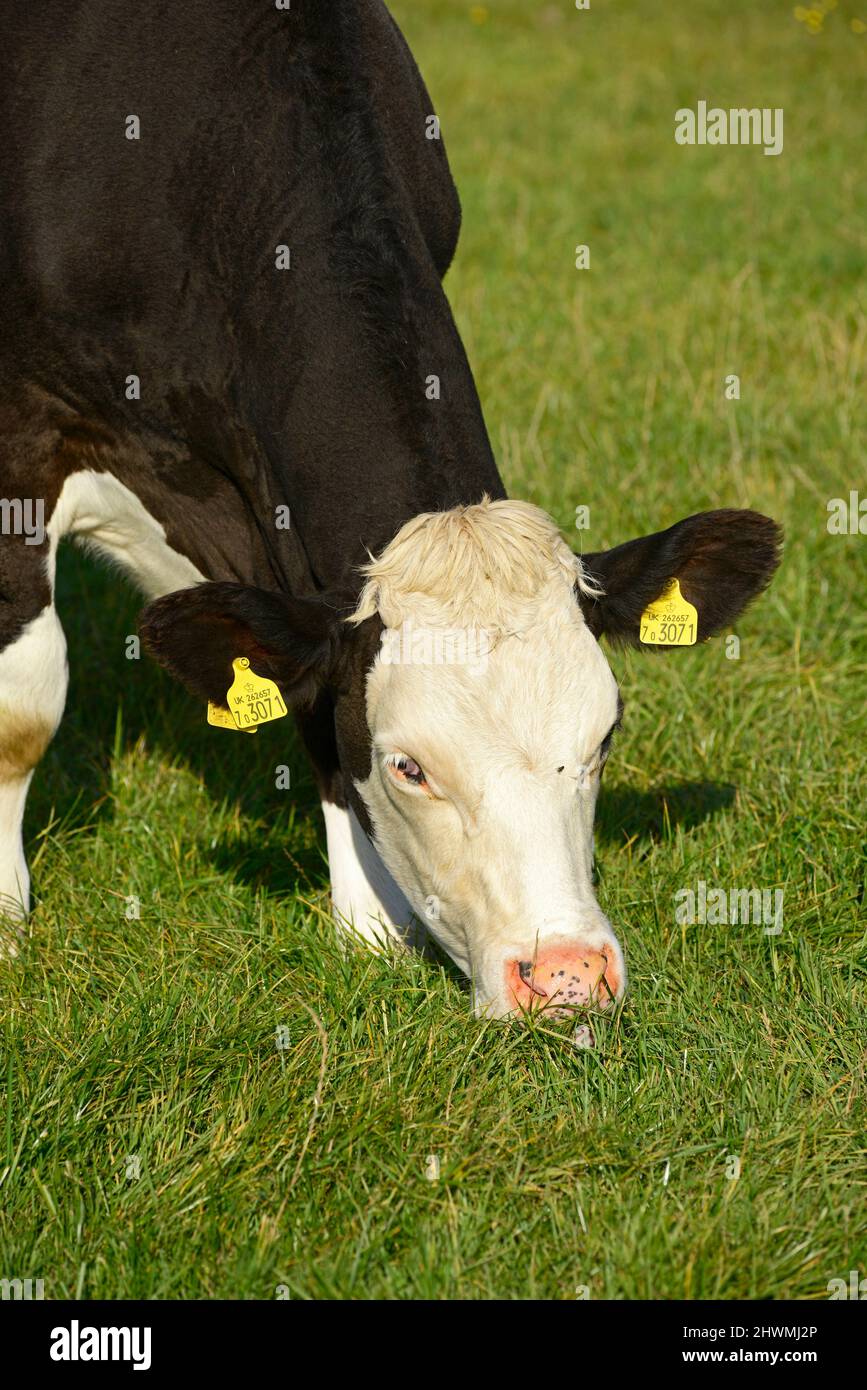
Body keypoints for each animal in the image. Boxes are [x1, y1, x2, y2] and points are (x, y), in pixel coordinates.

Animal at [0, 0, 781, 1021]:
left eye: (605, 734)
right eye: (411, 766)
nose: (567, 976)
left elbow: (312, 704)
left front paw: (368, 932)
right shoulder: (20, 432)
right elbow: (22, 709)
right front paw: (5, 923)